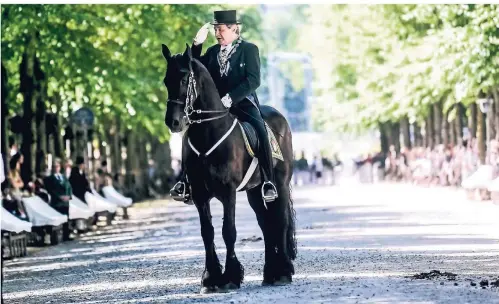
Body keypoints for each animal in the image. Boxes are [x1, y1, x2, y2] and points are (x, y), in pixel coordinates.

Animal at [163, 44, 296, 294]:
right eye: (166, 80)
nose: (173, 122)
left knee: (280, 221)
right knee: (266, 225)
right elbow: (207, 233)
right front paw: (210, 278)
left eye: (184, 79)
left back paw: (283, 271)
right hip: (255, 191)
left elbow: (229, 231)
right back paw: (270, 273)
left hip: (281, 185)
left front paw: (230, 277)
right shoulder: (200, 194)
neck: (208, 132)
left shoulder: (228, 192)